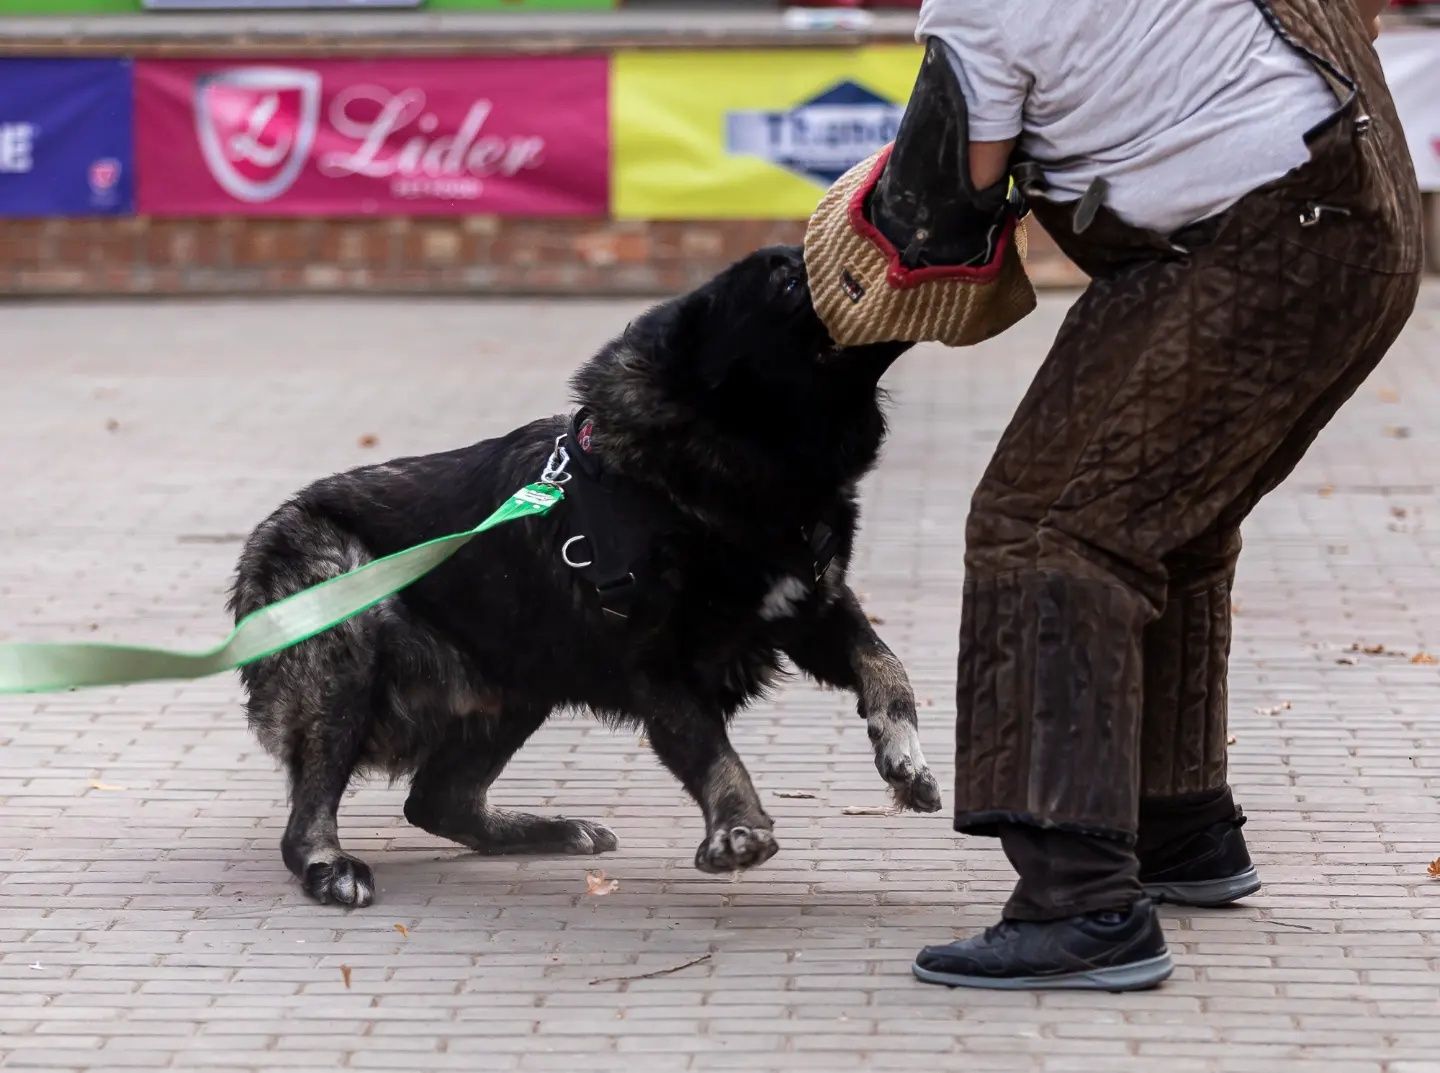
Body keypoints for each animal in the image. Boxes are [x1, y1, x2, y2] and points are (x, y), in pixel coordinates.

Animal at [230, 244, 938, 904]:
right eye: (789, 281)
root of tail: (267, 532)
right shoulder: (661, 666)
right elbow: (710, 748)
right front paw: (737, 825)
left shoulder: (814, 608)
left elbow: (887, 666)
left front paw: (902, 753)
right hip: (350, 637)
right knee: (313, 814)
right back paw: (329, 865)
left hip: (520, 680)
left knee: (436, 799)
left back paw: (539, 830)